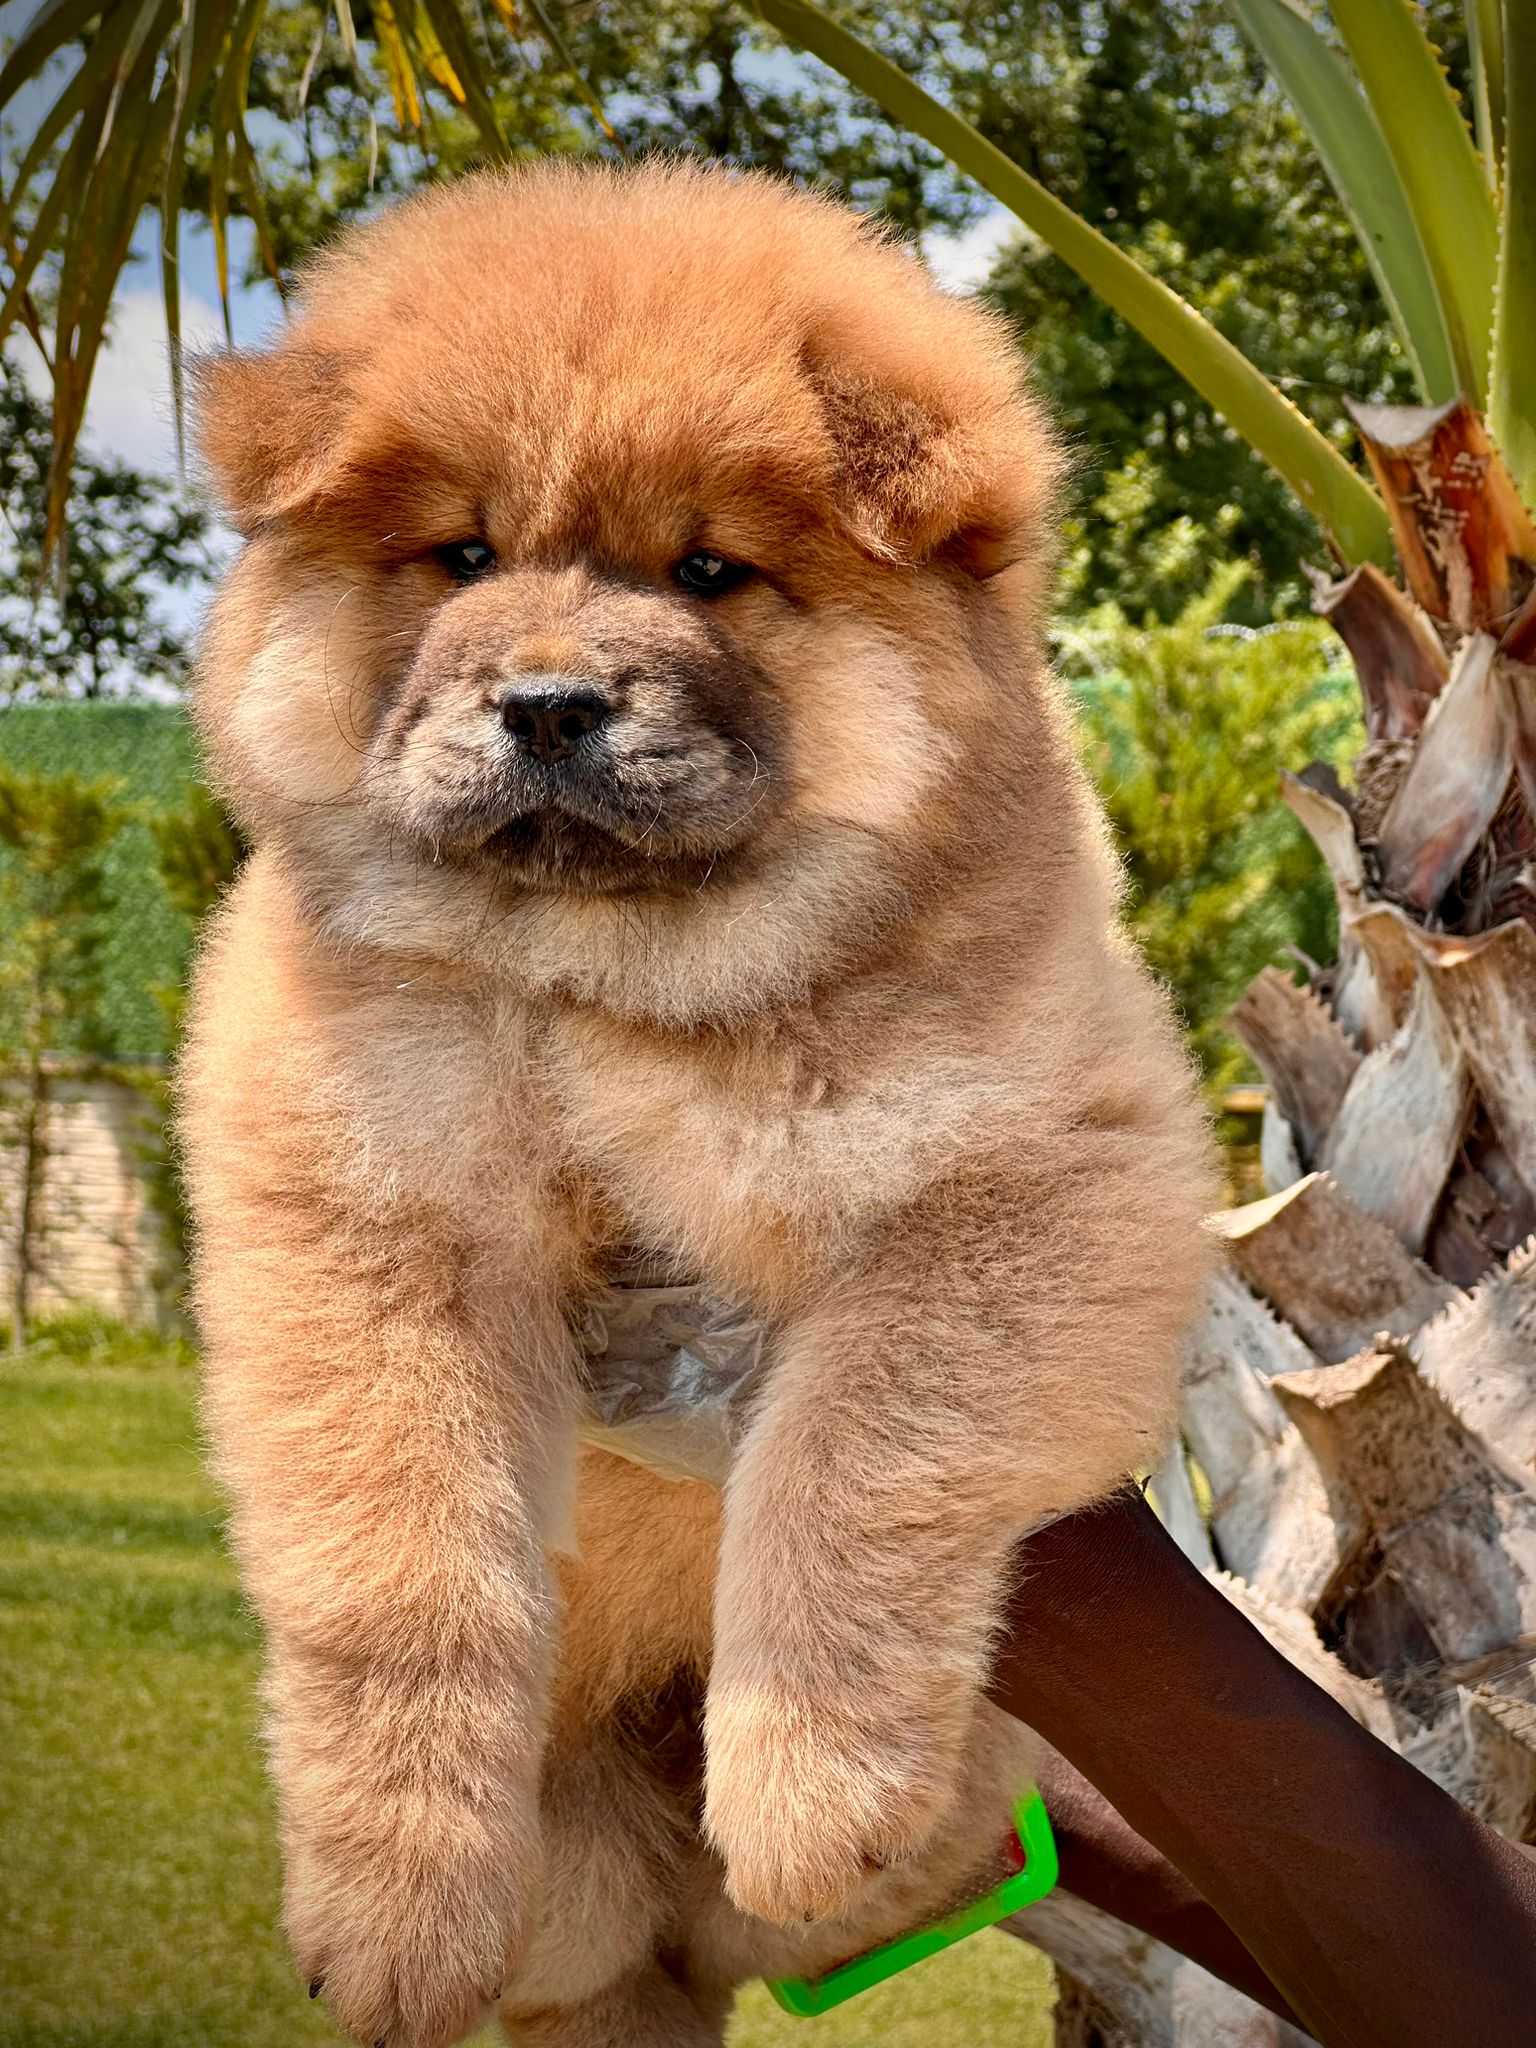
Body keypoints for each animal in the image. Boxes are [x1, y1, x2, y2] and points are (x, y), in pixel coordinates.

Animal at [180, 159, 1215, 2048]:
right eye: (464, 555)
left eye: (711, 572)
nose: (548, 702)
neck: (614, 985)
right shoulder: (362, 1208)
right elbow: (405, 1567)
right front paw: (389, 1916)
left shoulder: (1040, 1179)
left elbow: (852, 1457)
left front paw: (807, 1796)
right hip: (588, 1901)